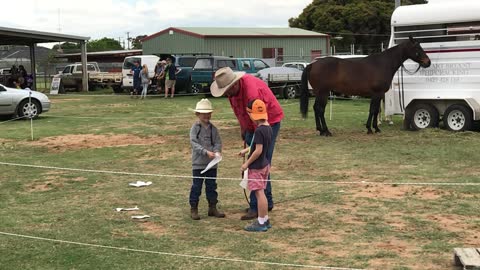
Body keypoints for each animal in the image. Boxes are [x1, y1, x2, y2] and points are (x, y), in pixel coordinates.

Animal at [300, 37, 432, 136]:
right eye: (417, 48)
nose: (428, 62)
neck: (382, 64)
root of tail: (313, 64)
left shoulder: (378, 94)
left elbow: (375, 110)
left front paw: (375, 128)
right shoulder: (377, 93)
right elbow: (373, 110)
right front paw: (370, 129)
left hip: (320, 93)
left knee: (316, 108)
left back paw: (320, 130)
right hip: (323, 93)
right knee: (320, 109)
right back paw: (326, 131)